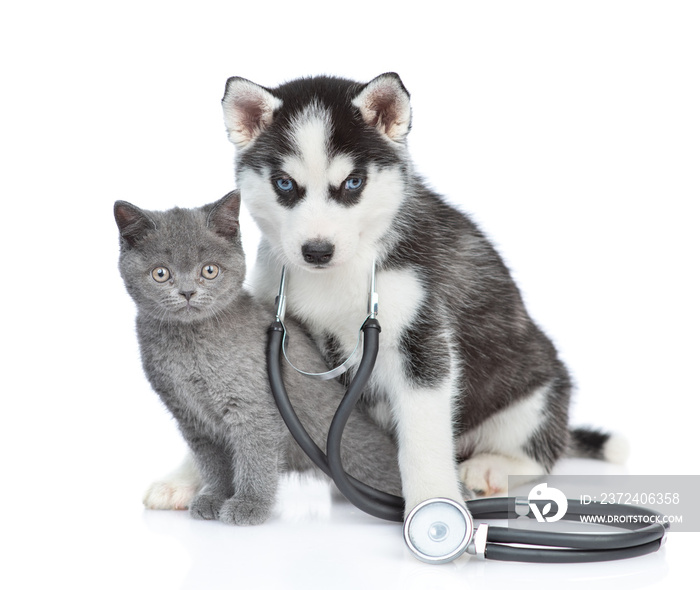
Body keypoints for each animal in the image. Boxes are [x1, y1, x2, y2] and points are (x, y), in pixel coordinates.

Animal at [114, 192, 400, 524]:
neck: (189, 345)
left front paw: (249, 504)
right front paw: (215, 497)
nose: (187, 292)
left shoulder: (253, 406)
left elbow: (255, 457)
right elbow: (213, 463)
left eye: (209, 270)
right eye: (161, 273)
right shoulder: (191, 419)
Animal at [220, 73, 624, 520]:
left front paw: (433, 502)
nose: (317, 251)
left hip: (536, 389)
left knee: (537, 451)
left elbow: (423, 437)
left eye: (353, 182)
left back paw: (491, 467)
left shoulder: (421, 341)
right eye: (285, 184)